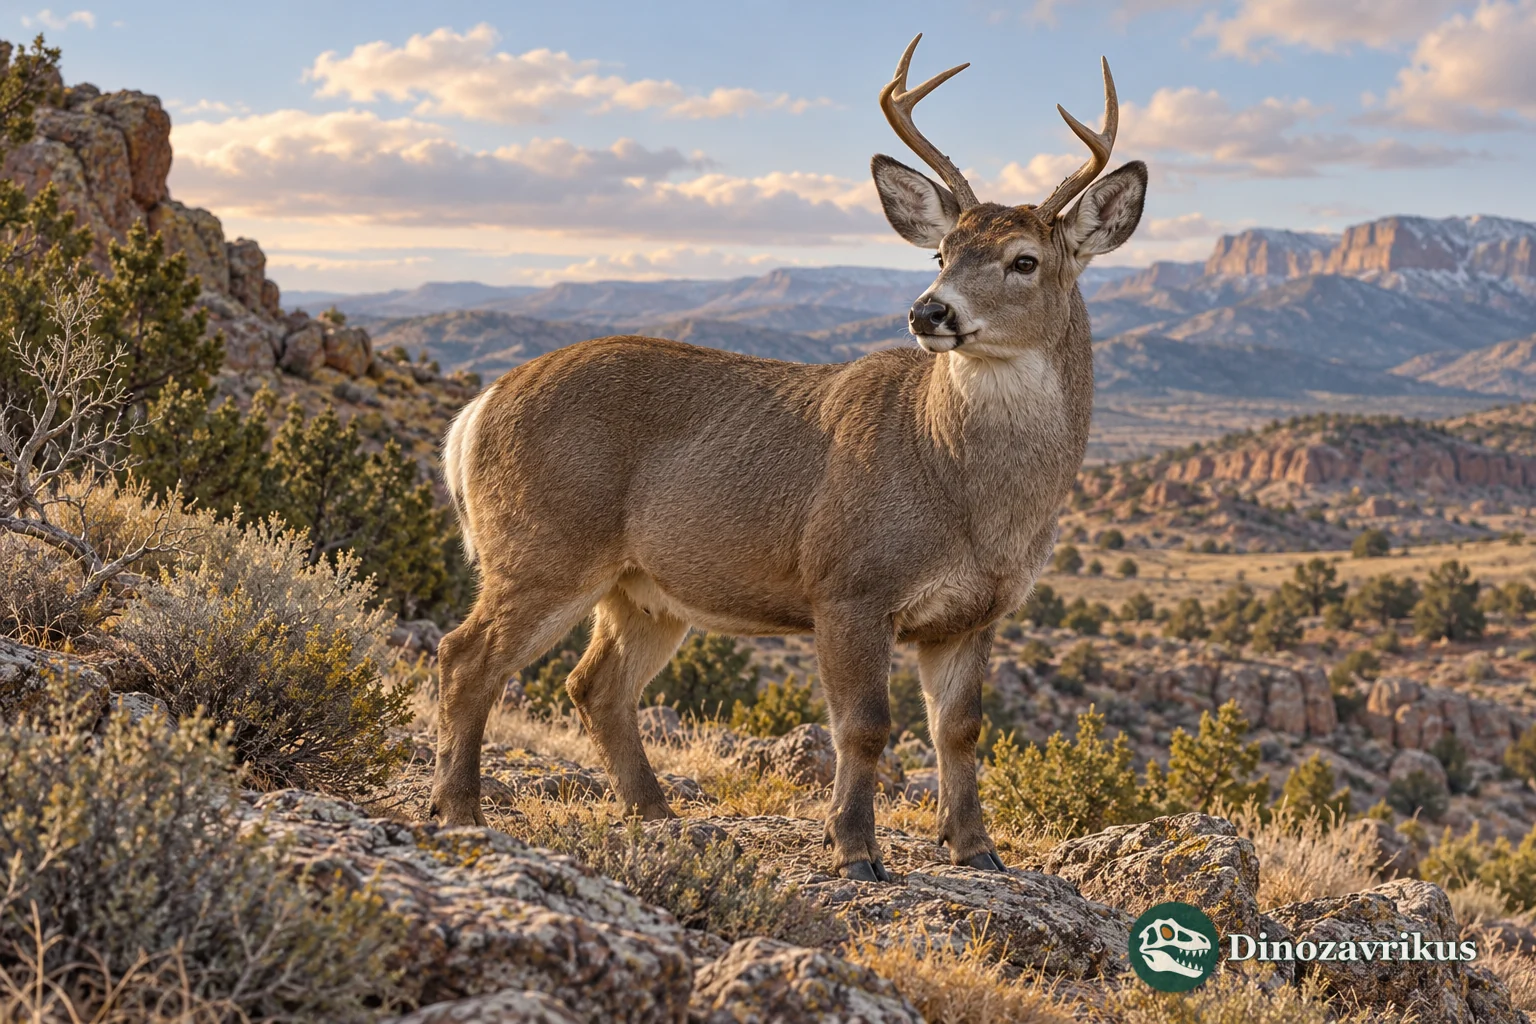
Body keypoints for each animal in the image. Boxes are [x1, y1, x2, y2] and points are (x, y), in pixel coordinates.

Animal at [431, 34, 1146, 881]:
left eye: (1024, 259)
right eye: (941, 252)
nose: (928, 312)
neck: (964, 492)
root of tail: (478, 408)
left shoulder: (975, 613)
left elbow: (960, 730)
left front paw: (976, 850)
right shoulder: (848, 583)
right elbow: (865, 726)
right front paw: (855, 851)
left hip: (643, 587)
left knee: (593, 684)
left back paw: (657, 816)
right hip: (542, 544)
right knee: (466, 655)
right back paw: (460, 812)